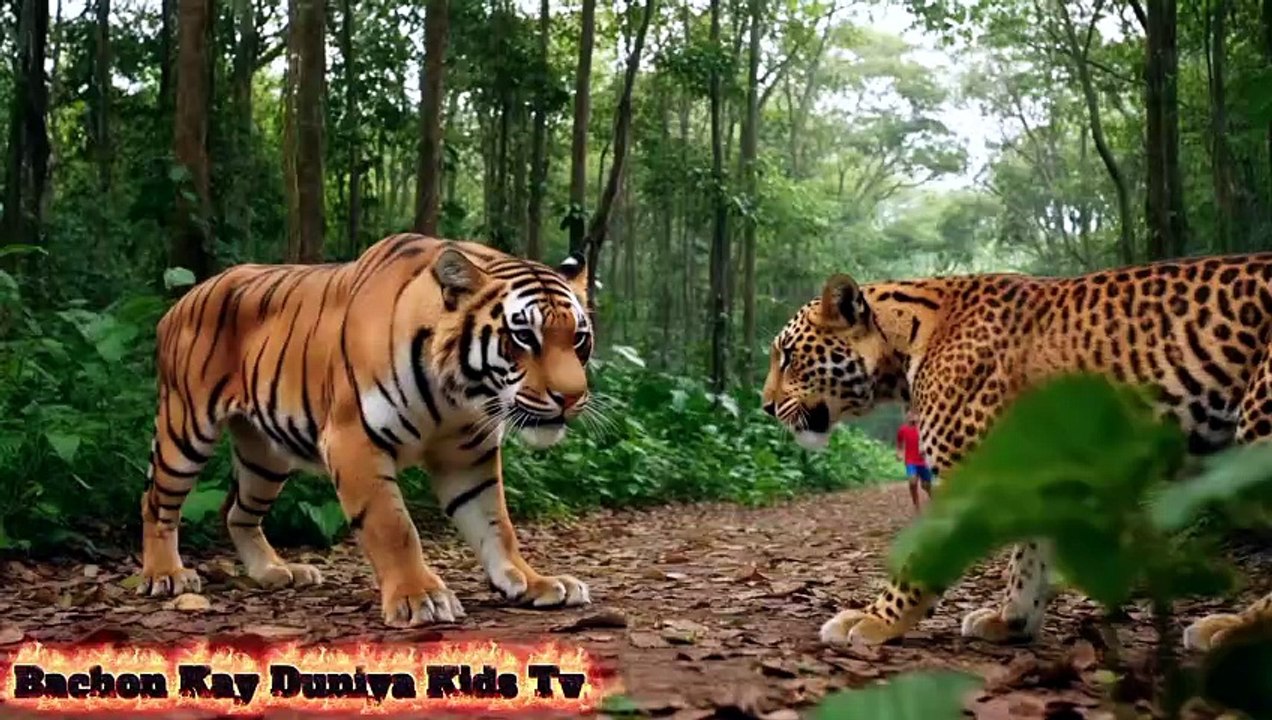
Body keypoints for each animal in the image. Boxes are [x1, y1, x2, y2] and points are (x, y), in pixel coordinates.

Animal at [138, 233, 595, 627]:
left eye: (578, 338)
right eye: (524, 336)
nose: (572, 397)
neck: (459, 393)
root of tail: (181, 300)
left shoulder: (468, 455)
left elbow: (497, 526)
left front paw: (534, 582)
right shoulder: (353, 441)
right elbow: (393, 526)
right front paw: (419, 597)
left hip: (265, 457)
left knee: (236, 511)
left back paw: (275, 571)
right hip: (185, 430)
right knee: (156, 502)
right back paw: (166, 575)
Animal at [761, 256, 1272, 651]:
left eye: (787, 355)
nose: (765, 405)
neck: (903, 346)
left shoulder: (966, 481)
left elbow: (924, 556)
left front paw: (875, 618)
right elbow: (1030, 555)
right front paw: (1013, 621)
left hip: (1258, 431)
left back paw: (1236, 630)